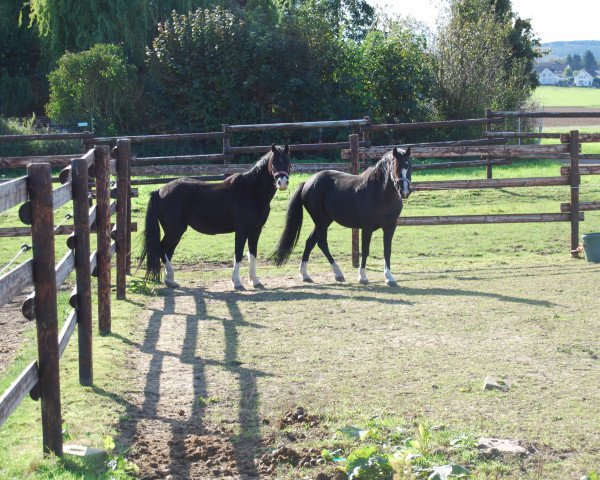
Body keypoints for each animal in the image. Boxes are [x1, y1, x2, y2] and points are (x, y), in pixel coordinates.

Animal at [141, 144, 290, 288]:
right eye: (274, 163)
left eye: (288, 162)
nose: (282, 182)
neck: (251, 191)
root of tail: (160, 191)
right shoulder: (242, 230)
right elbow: (238, 253)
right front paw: (236, 282)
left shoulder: (255, 230)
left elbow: (252, 254)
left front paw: (254, 281)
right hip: (174, 231)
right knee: (162, 249)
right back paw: (170, 278)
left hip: (174, 232)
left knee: (167, 252)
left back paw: (170, 280)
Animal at [272, 146, 412, 286]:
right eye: (395, 167)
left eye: (409, 166)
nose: (404, 191)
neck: (379, 192)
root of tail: (308, 182)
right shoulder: (367, 228)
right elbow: (365, 250)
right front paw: (362, 277)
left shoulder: (390, 227)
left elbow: (387, 250)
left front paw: (389, 278)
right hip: (320, 221)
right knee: (322, 243)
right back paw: (338, 274)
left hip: (325, 220)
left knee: (310, 242)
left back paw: (305, 275)